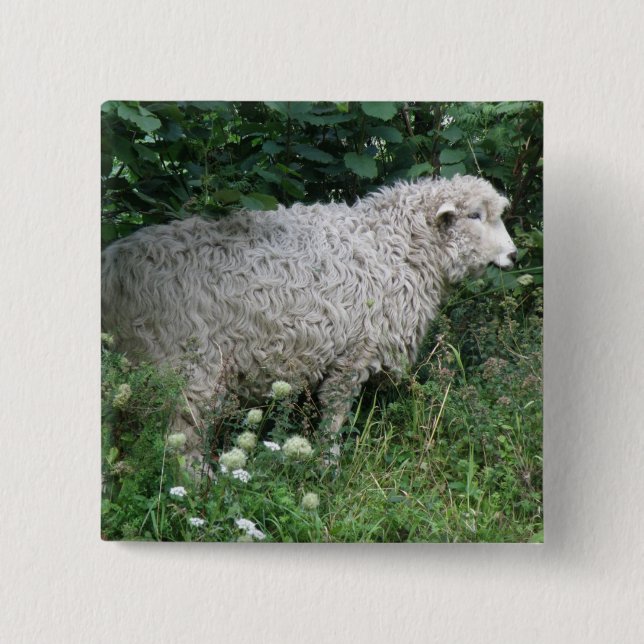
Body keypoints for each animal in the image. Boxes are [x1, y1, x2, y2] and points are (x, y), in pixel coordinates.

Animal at [101, 174, 517, 458]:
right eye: (475, 215)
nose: (514, 255)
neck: (394, 246)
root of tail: (113, 265)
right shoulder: (355, 352)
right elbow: (334, 413)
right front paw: (327, 463)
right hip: (187, 364)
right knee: (181, 437)